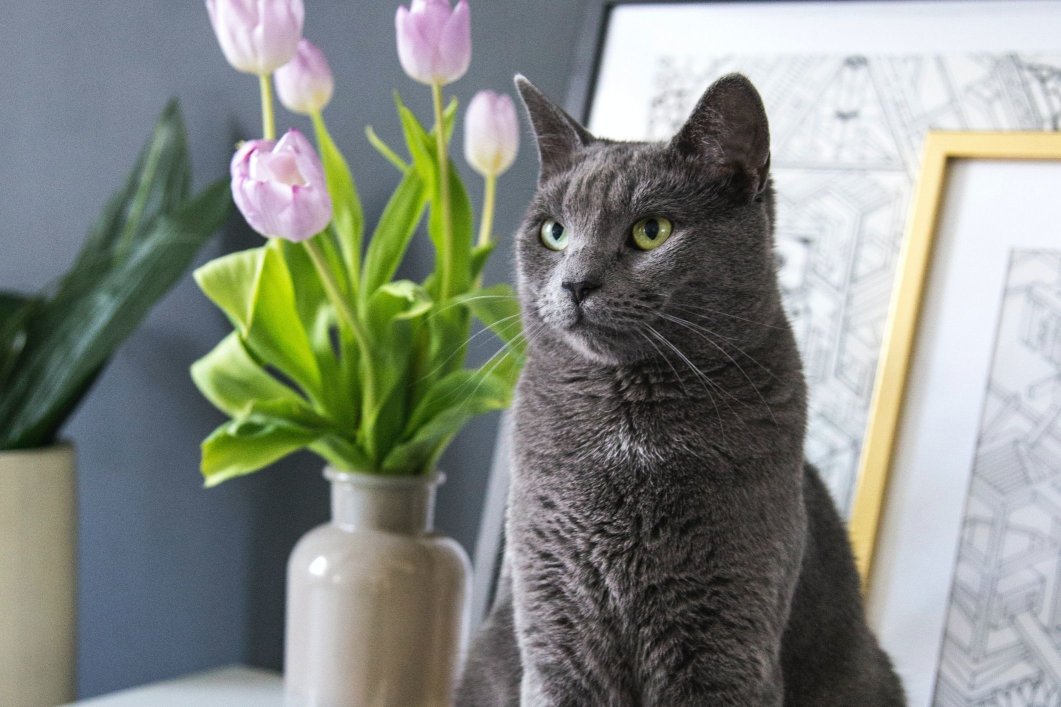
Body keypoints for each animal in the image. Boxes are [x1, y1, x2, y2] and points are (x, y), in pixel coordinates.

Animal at [456, 74, 903, 700]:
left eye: (652, 231)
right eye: (555, 232)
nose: (575, 284)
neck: (626, 424)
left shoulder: (728, 637)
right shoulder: (554, 620)